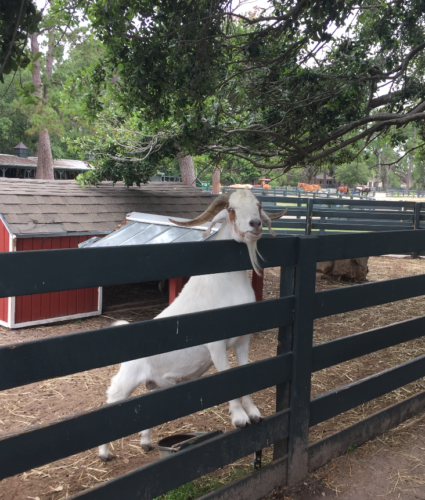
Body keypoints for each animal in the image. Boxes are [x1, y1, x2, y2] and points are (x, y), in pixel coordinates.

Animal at [99, 189, 284, 458]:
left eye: (258, 206)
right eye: (231, 209)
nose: (255, 224)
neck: (226, 284)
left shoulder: (243, 341)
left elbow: (243, 373)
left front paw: (254, 413)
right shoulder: (216, 346)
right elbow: (227, 375)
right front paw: (239, 418)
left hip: (154, 385)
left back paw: (146, 443)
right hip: (127, 378)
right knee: (112, 397)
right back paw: (104, 454)